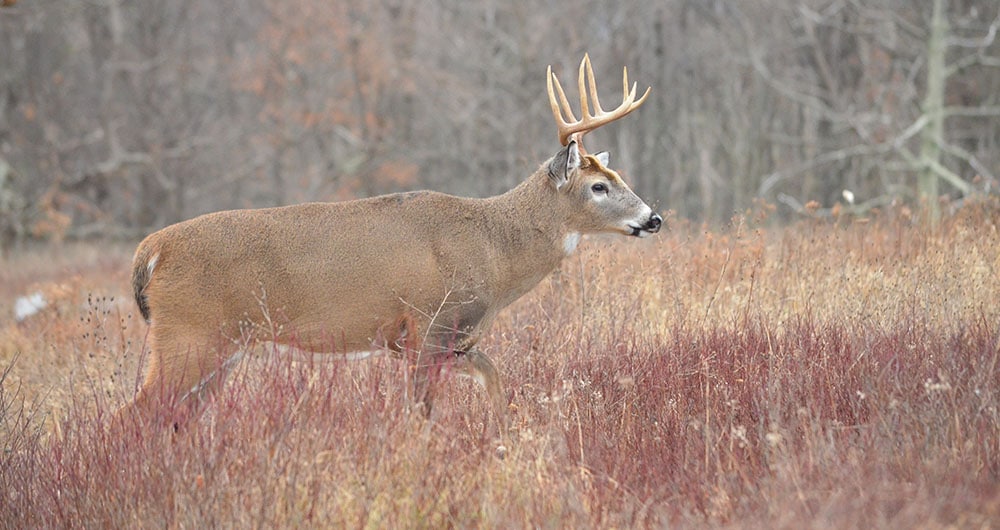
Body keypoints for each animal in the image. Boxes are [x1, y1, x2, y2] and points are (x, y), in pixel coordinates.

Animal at [117, 54, 661, 432]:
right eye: (599, 186)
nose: (652, 218)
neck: (494, 250)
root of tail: (152, 250)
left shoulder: (439, 341)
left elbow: (495, 378)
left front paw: (504, 437)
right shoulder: (429, 323)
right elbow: (420, 413)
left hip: (223, 346)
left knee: (175, 416)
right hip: (189, 334)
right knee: (136, 413)